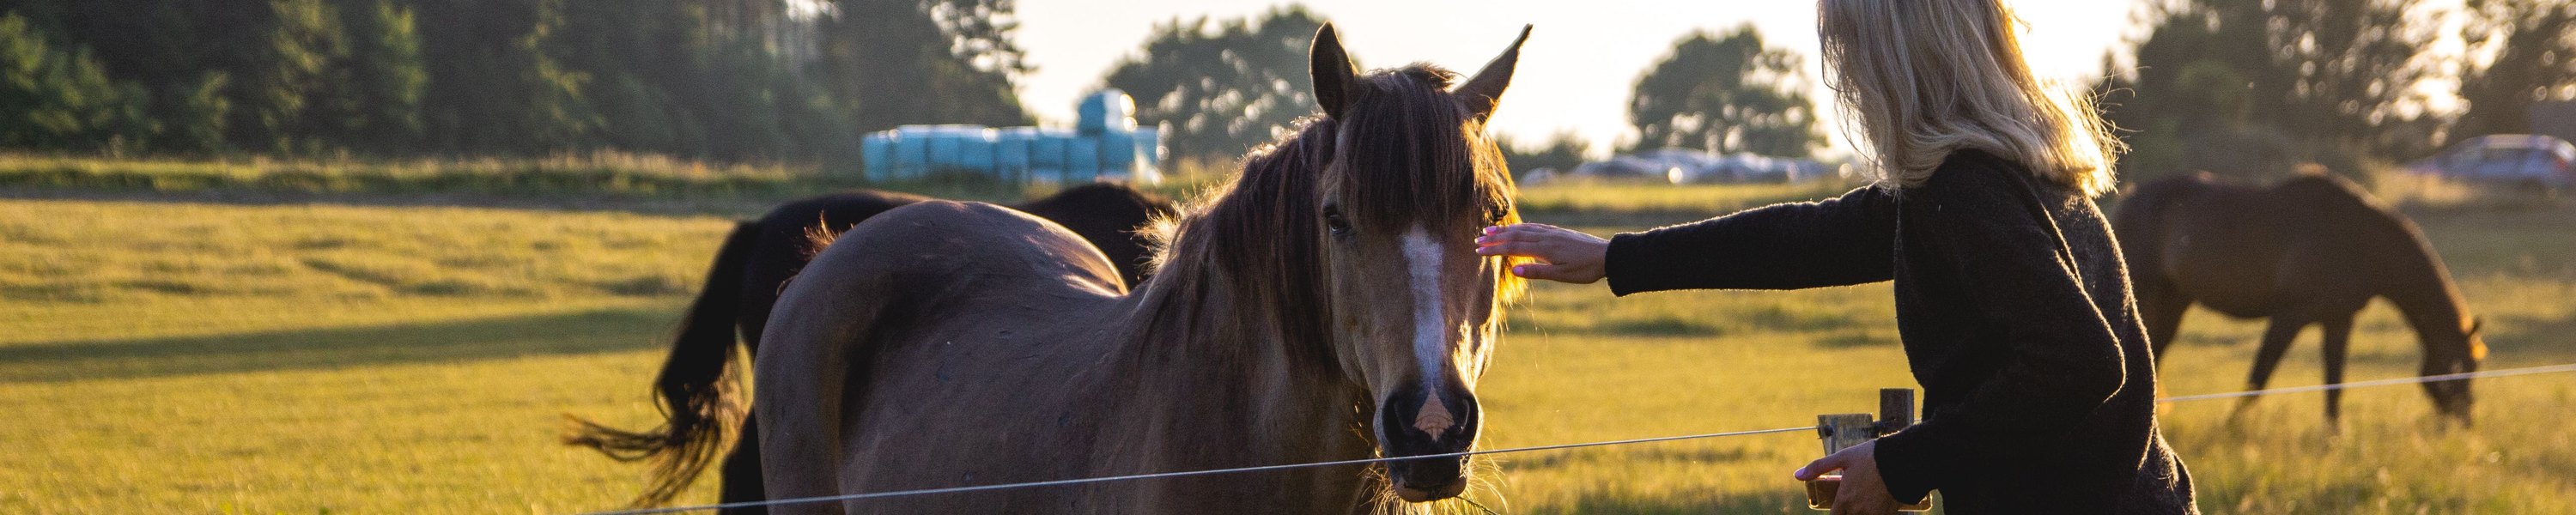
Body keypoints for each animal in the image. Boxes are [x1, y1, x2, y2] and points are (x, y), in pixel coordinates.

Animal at [2112, 170, 2486, 426]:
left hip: (2175, 299)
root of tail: (2129, 196)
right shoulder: (2288, 317)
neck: (2358, 241)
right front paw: (2232, 429)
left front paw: (2333, 438)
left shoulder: (2338, 321)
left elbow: (2334, 384)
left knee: (2157, 350)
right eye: (2460, 367)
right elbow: (2259, 376)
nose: (2465, 421)